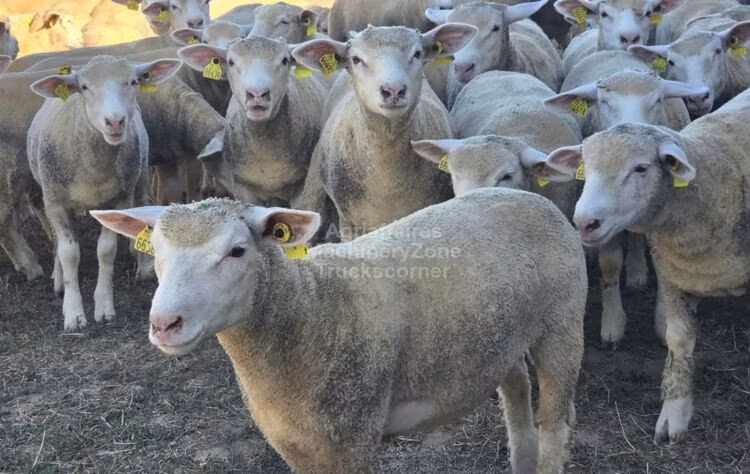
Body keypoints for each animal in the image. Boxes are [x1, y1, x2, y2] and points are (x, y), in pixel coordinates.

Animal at [27, 55, 182, 331]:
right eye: (84, 87)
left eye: (133, 81)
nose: (115, 122)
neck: (93, 171)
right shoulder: (55, 202)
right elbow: (69, 253)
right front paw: (73, 313)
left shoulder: (118, 199)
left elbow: (106, 251)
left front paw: (104, 307)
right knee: (57, 242)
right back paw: (58, 280)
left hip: (140, 176)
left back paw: (143, 267)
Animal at [91, 188, 586, 474]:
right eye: (154, 251)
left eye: (236, 251)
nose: (164, 324)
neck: (313, 309)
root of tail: (525, 193)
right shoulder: (295, 444)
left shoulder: (353, 434)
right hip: (499, 336)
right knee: (517, 397)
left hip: (563, 325)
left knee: (554, 426)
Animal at [541, 86, 750, 445]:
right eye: (585, 167)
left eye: (641, 168)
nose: (584, 222)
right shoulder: (676, 276)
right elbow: (679, 342)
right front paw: (674, 414)